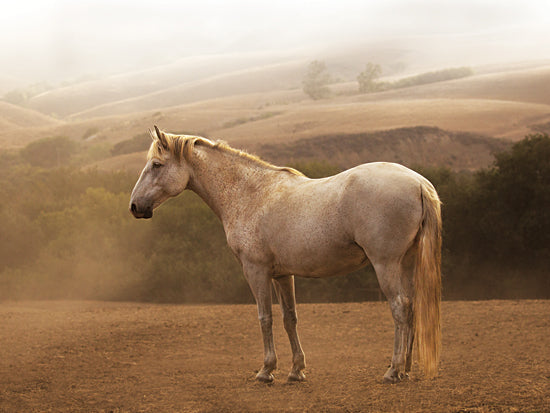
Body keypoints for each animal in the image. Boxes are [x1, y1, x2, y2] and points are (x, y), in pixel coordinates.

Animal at [130, 126, 444, 384]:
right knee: (411, 307)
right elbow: (289, 318)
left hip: (386, 264)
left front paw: (266, 371)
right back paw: (406, 369)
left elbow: (265, 317)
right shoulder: (282, 274)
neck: (249, 194)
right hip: (406, 263)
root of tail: (419, 183)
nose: (135, 206)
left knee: (400, 308)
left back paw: (393, 370)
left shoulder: (255, 271)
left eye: (156, 165)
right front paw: (296, 371)